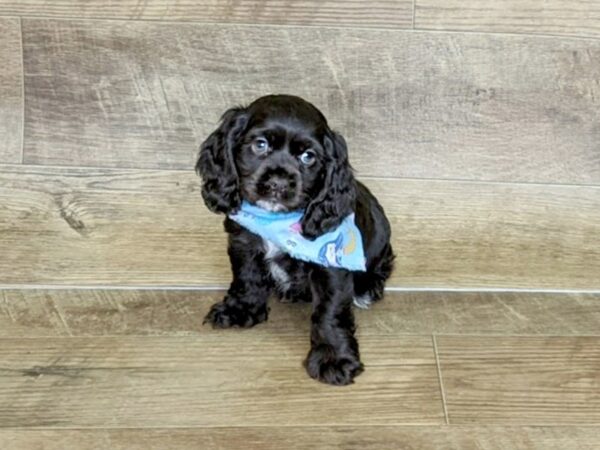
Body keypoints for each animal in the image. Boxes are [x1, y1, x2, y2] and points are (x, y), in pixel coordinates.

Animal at [196, 94, 394, 384]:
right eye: (260, 144)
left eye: (308, 157)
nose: (278, 183)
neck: (275, 221)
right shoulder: (244, 243)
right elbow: (247, 278)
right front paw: (241, 309)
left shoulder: (330, 265)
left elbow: (329, 312)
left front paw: (333, 358)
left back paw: (367, 288)